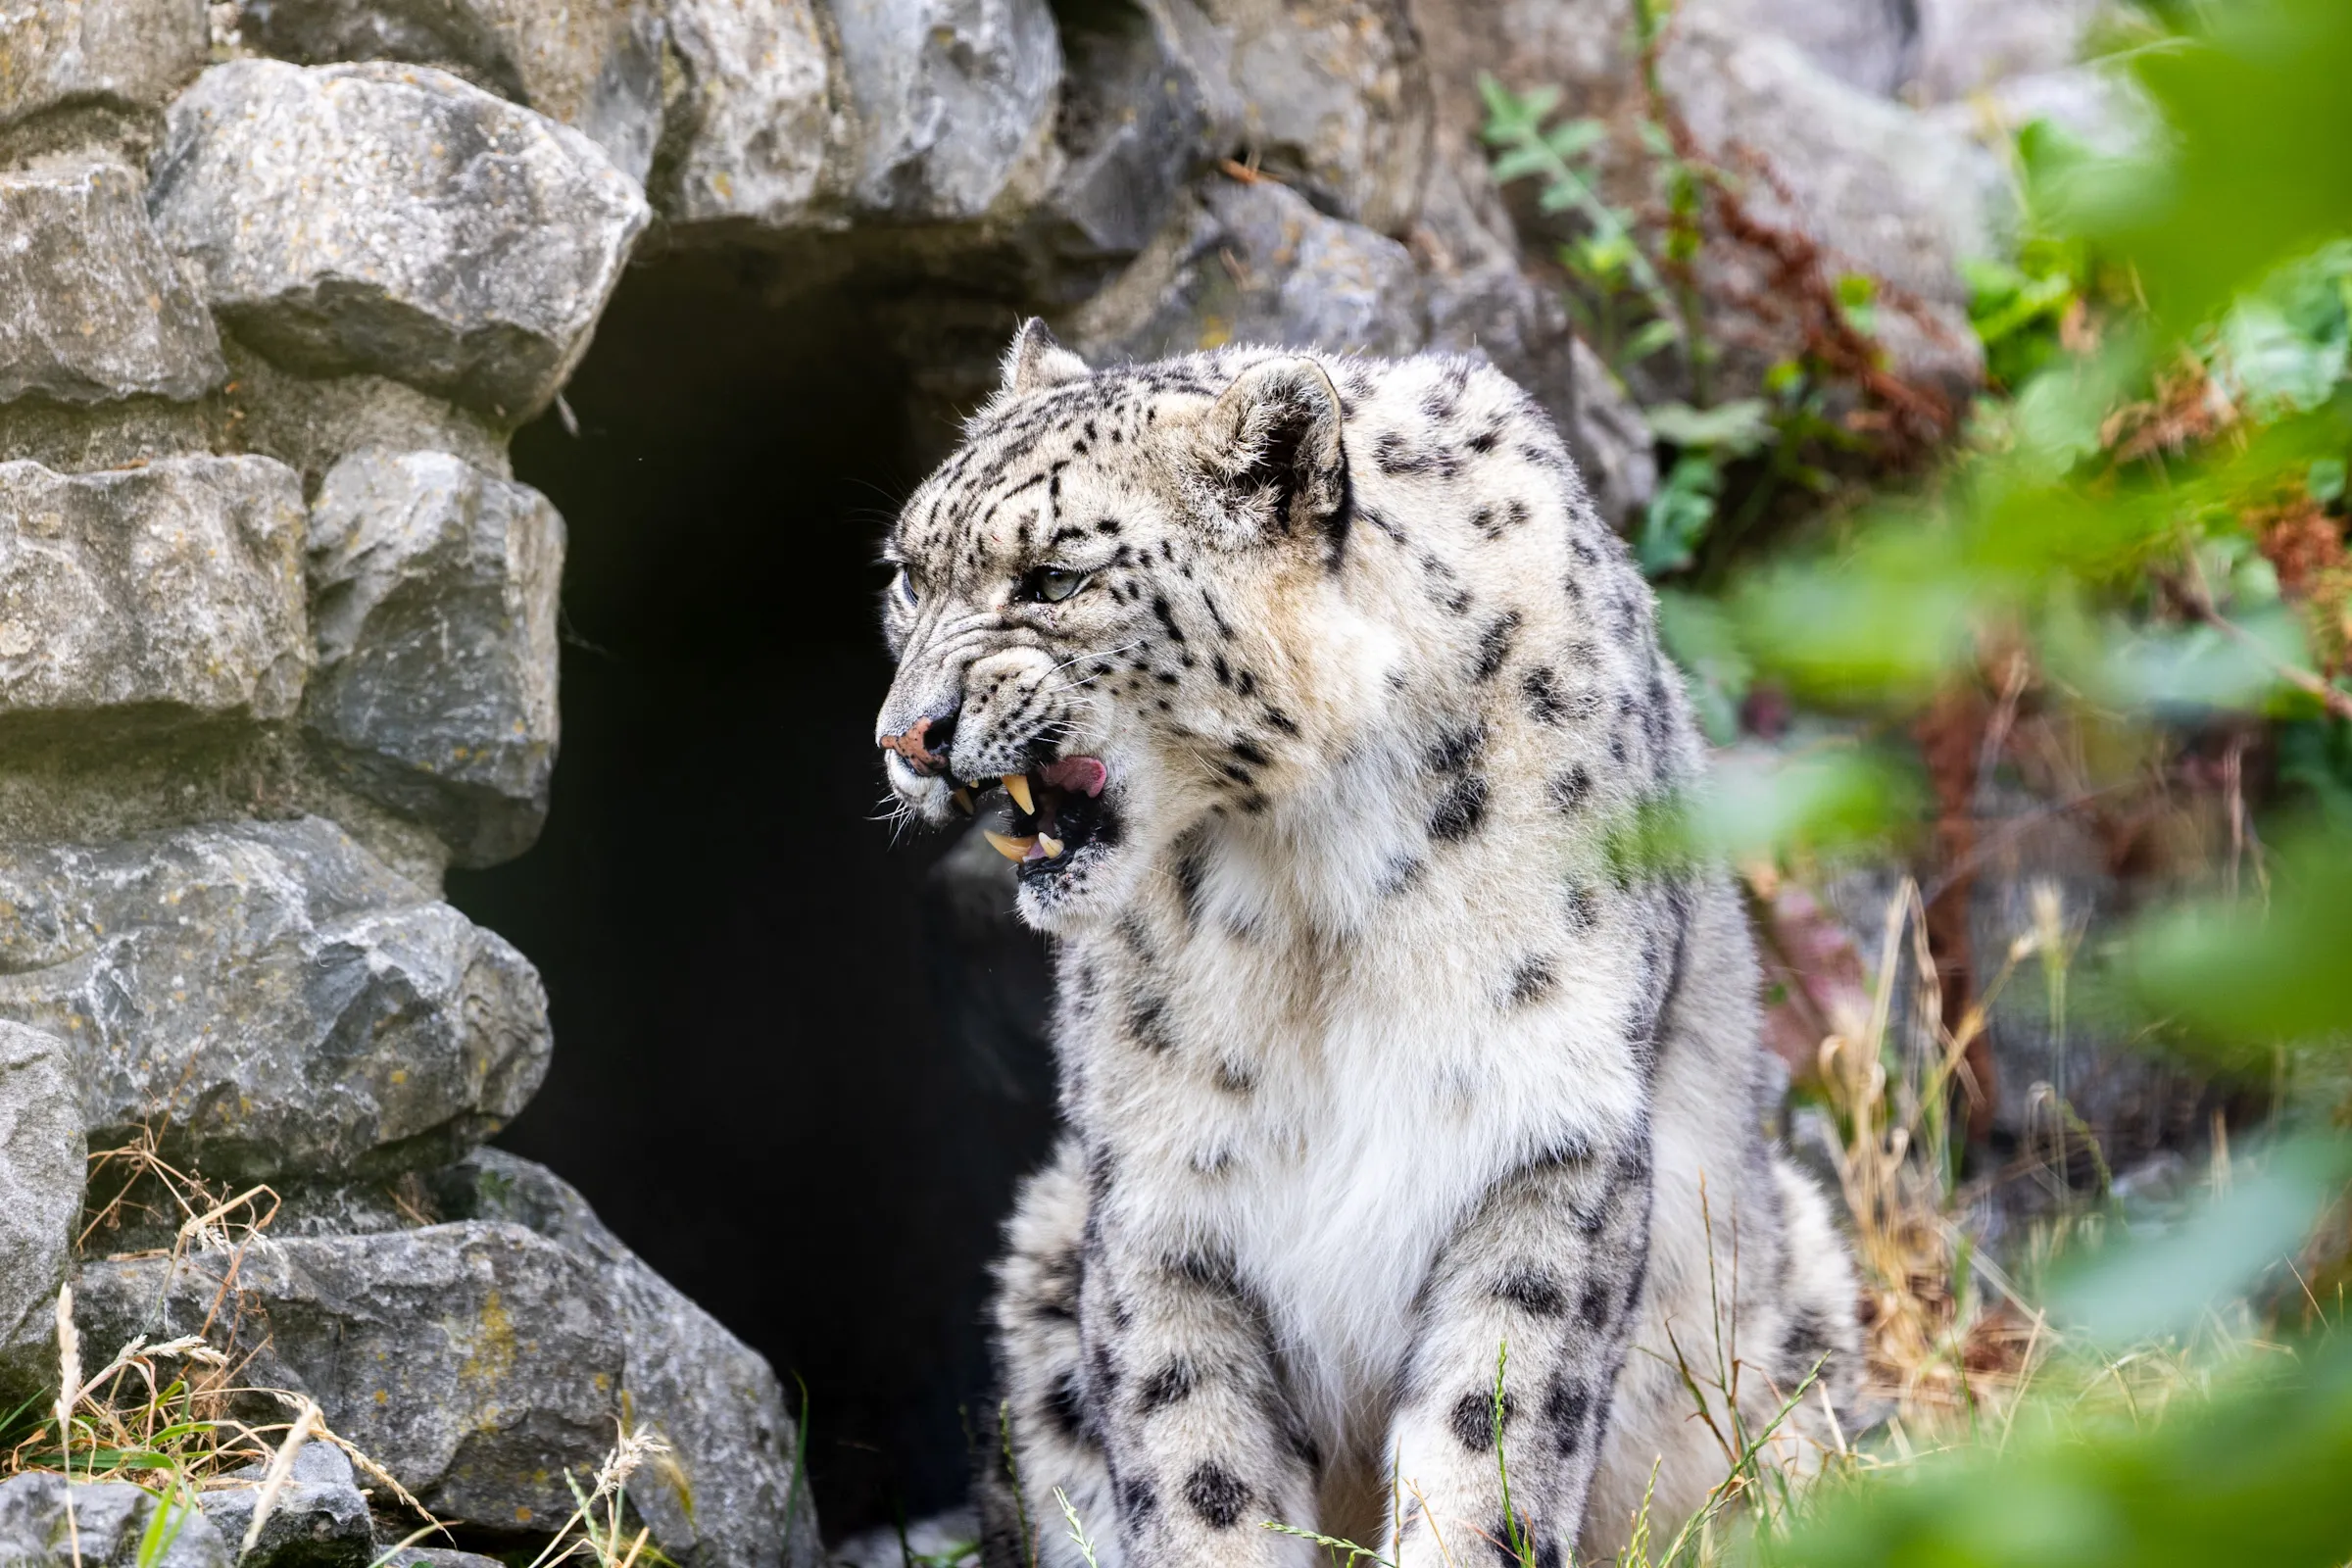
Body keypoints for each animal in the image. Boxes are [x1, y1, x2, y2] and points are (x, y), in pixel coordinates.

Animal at [872, 322, 1860, 1568]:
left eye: (1057, 576)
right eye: (908, 577)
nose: (907, 736)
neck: (1304, 903)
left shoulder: (1541, 1128)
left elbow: (1488, 1434)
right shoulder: (1164, 1184)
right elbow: (1198, 1467)